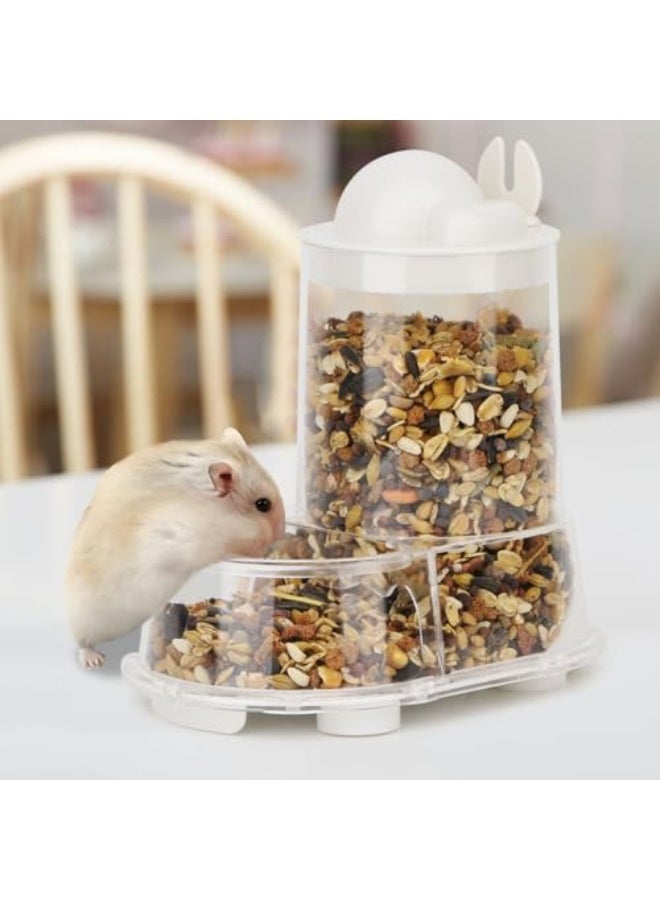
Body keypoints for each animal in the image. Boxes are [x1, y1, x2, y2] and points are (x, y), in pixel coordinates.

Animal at [66, 427, 285, 669]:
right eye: (263, 504)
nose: (282, 535)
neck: (217, 512)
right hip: (87, 618)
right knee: (82, 642)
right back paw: (94, 660)